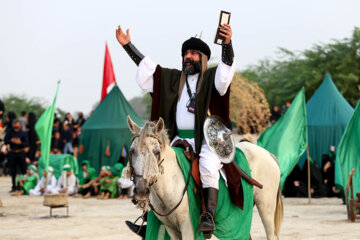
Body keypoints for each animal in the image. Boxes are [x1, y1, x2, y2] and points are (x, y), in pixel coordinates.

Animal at [128, 116, 282, 238]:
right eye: (132, 151)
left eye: (156, 152)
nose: (141, 191)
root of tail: (268, 154)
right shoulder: (171, 229)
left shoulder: (188, 226)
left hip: (266, 209)